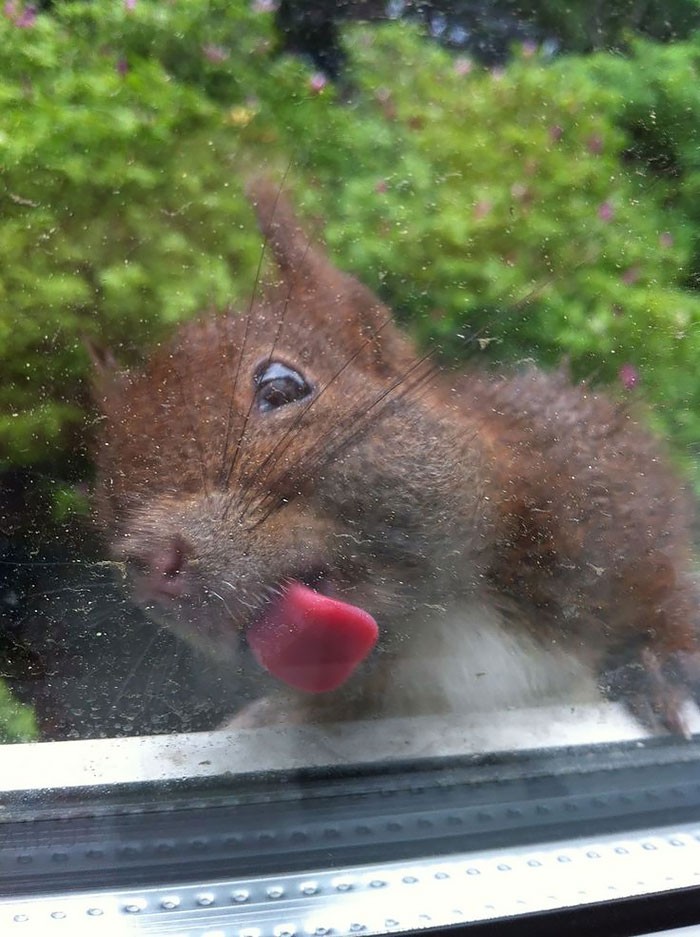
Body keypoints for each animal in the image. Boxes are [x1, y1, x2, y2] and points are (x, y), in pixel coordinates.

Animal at [90, 181, 700, 740]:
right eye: (106, 504)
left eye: (282, 387)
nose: (150, 564)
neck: (435, 621)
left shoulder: (600, 487)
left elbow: (665, 576)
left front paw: (668, 664)